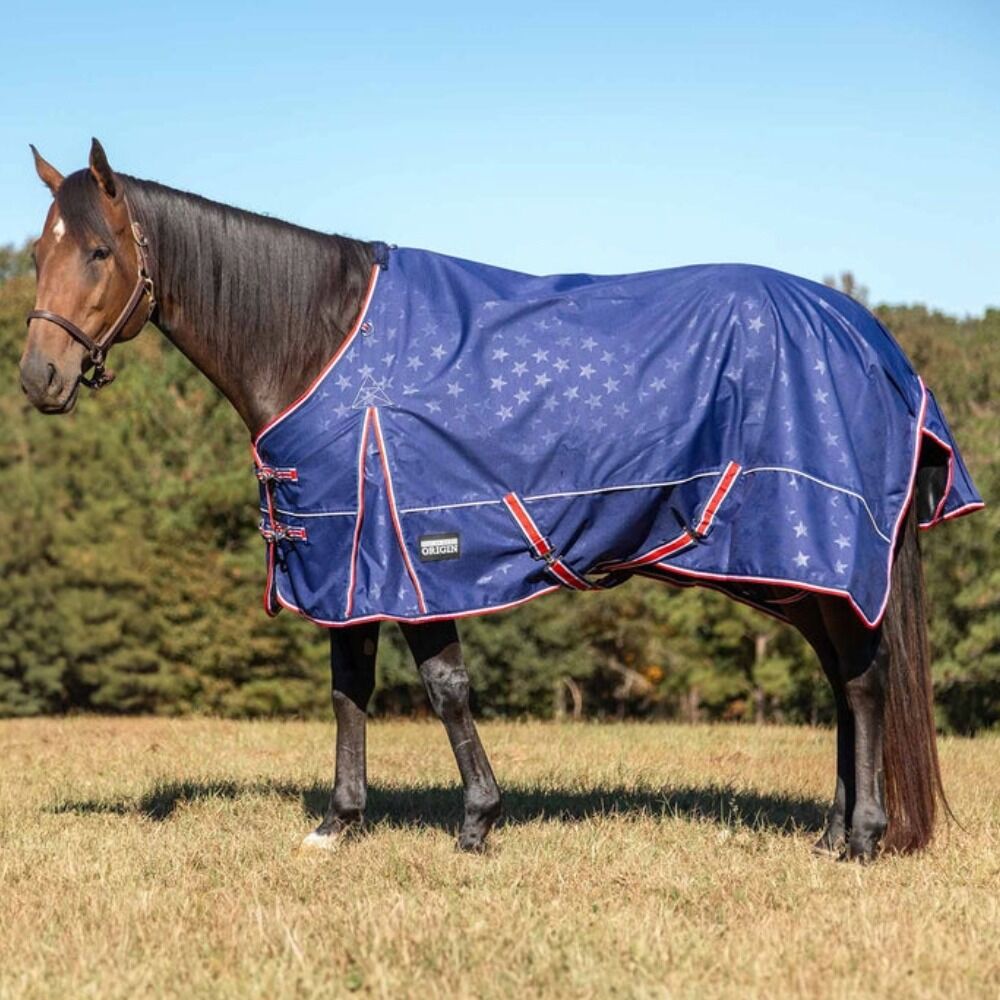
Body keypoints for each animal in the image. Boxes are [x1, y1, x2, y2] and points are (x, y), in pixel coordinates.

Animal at [19, 139, 977, 862]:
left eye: (100, 252)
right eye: (37, 253)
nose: (38, 378)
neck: (323, 344)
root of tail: (873, 343)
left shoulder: (410, 553)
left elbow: (444, 687)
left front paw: (477, 822)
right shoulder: (346, 562)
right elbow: (348, 690)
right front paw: (340, 824)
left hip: (817, 550)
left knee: (863, 679)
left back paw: (863, 836)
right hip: (797, 571)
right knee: (843, 677)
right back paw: (831, 832)